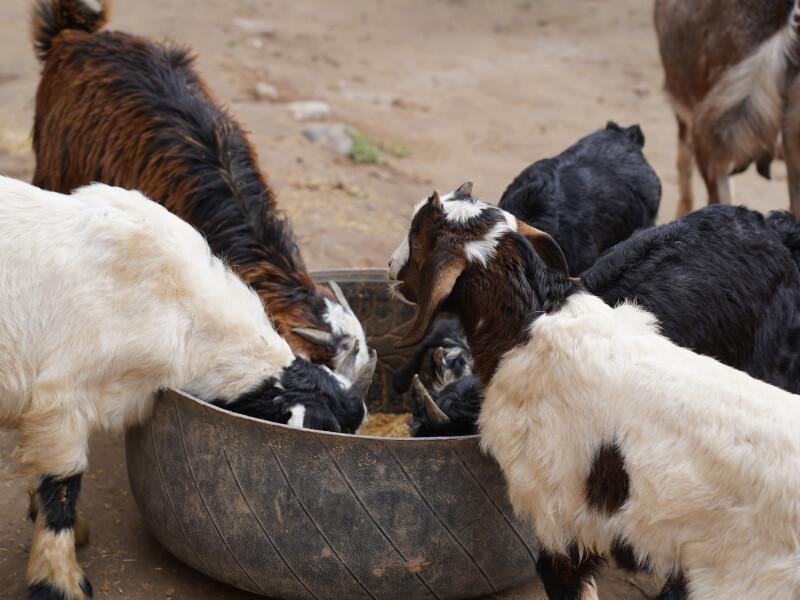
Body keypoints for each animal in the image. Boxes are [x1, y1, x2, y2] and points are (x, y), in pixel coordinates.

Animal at [388, 185, 800, 599]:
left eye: (416, 237)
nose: (390, 267)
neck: (533, 327)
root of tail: (775, 225)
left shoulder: (559, 505)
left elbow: (560, 573)